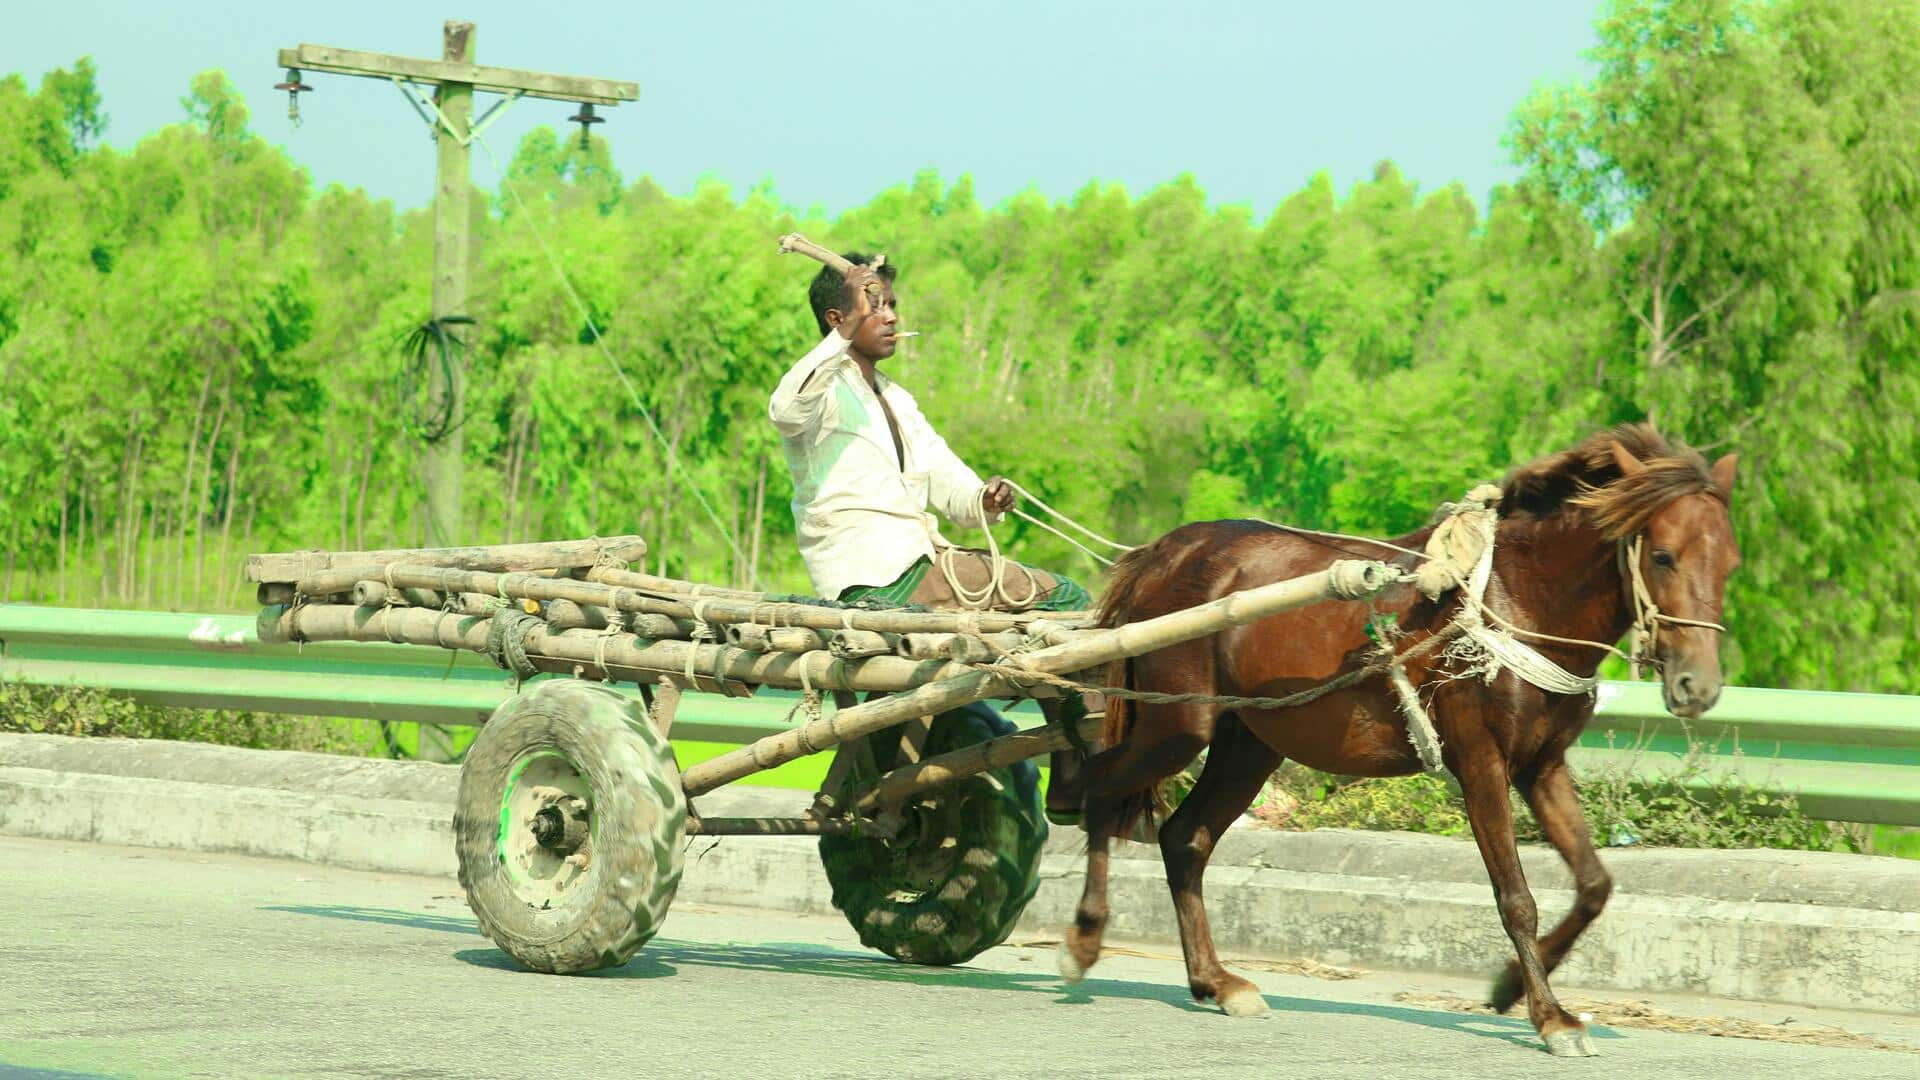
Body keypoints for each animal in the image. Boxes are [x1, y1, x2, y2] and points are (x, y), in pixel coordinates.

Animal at [1067, 424, 1743, 1053]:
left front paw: (1512, 986)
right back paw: (1084, 936)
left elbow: (1595, 885)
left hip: (1250, 739)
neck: (1519, 599)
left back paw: (1215, 980)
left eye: (1730, 562)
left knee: (1185, 838)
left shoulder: (1543, 764)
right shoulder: (1480, 760)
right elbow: (1516, 897)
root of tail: (1163, 550)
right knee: (1096, 789)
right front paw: (1549, 1016)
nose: (1699, 686)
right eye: (1663, 556)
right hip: (1177, 725)